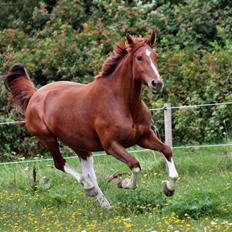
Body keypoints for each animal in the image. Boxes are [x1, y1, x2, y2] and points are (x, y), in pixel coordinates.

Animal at [4, 30, 178, 208]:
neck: (122, 102)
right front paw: (124, 183)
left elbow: (167, 150)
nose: (157, 83)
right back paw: (89, 188)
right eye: (139, 57)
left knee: (88, 171)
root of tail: (35, 95)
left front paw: (168, 188)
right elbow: (134, 165)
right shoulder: (111, 145)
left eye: (155, 56)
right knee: (62, 164)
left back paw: (105, 204)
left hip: (78, 143)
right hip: (48, 139)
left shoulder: (144, 137)